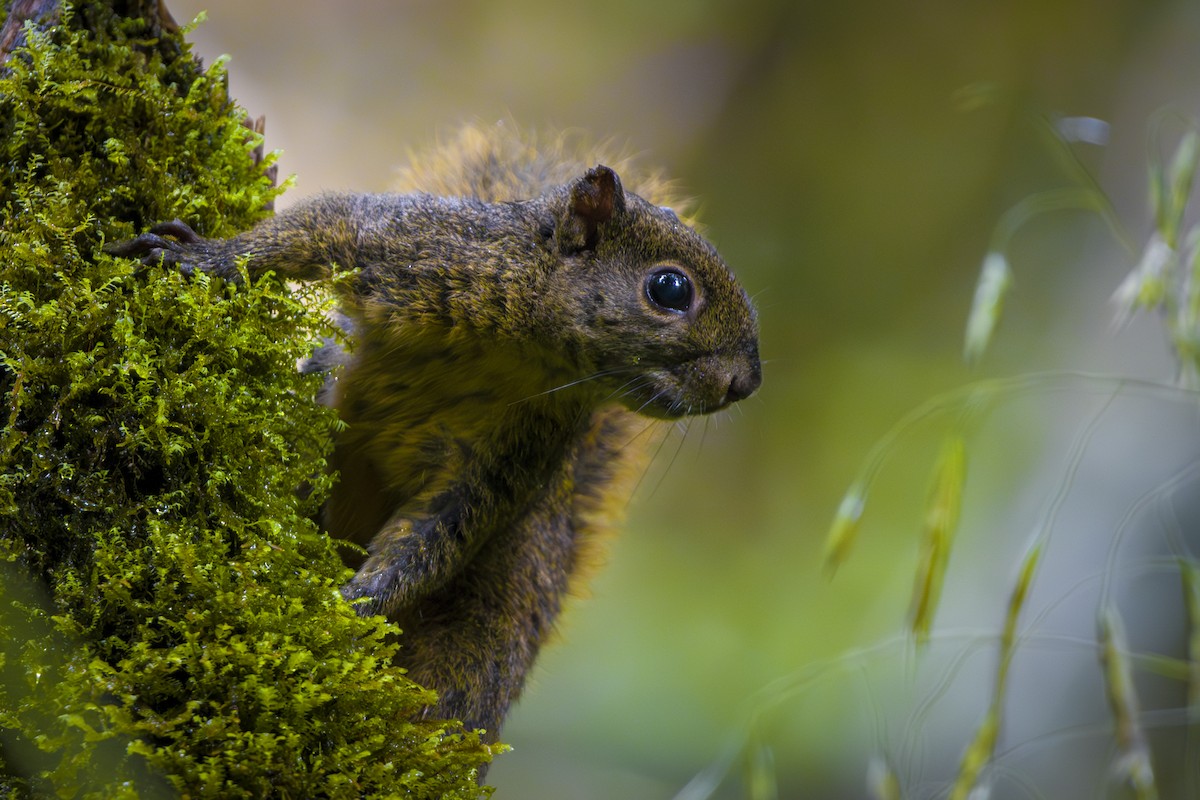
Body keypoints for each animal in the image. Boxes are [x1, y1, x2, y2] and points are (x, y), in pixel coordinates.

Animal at [108, 124, 761, 747]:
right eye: (670, 289)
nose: (747, 383)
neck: (533, 355)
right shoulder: (419, 242)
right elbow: (315, 227)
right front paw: (206, 258)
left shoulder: (516, 450)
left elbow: (439, 531)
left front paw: (352, 608)